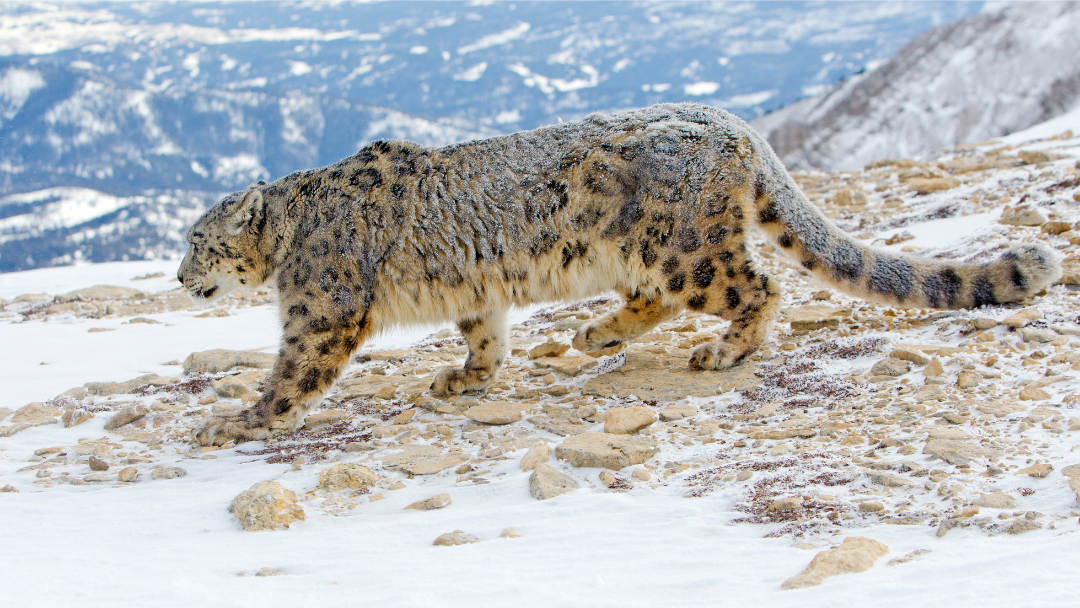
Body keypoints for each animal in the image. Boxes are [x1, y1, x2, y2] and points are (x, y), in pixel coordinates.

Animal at [179, 103, 1061, 446]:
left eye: (198, 240)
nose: (181, 278)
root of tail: (728, 121)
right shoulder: (477, 295)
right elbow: (485, 335)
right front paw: (464, 378)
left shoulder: (320, 307)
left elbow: (292, 370)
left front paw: (236, 421)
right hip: (648, 253)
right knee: (655, 299)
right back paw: (596, 331)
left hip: (685, 249)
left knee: (756, 287)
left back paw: (723, 350)